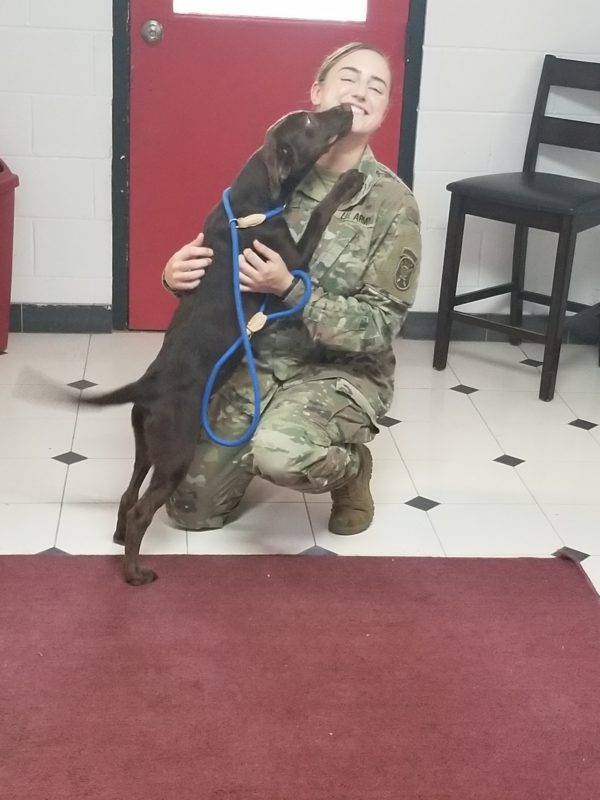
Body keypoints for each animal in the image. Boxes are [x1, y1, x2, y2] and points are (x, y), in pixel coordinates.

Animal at [81, 104, 364, 585]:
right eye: (310, 123)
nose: (347, 109)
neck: (251, 203)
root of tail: (148, 385)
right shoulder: (292, 258)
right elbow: (321, 213)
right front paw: (348, 182)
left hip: (146, 445)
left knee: (129, 493)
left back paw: (119, 542)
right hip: (174, 453)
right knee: (141, 510)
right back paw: (135, 573)